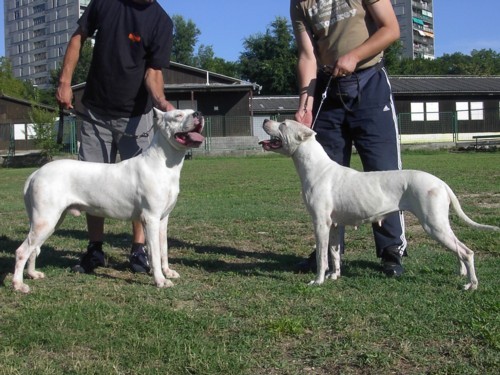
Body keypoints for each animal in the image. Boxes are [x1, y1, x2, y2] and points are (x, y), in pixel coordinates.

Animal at [13, 108, 205, 294]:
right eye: (178, 115)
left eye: (192, 110)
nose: (198, 114)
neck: (162, 162)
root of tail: (36, 173)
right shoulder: (150, 219)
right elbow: (155, 253)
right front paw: (160, 280)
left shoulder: (163, 219)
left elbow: (163, 249)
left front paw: (168, 272)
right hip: (45, 220)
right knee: (22, 251)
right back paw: (18, 285)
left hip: (50, 221)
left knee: (33, 249)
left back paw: (32, 274)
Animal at [260, 119, 498, 290]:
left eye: (283, 124)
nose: (265, 120)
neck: (316, 167)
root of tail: (441, 183)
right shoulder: (334, 225)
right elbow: (334, 253)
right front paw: (334, 276)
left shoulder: (320, 224)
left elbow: (321, 256)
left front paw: (318, 281)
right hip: (439, 225)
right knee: (458, 249)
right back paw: (463, 274)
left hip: (433, 225)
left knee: (467, 252)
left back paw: (471, 284)